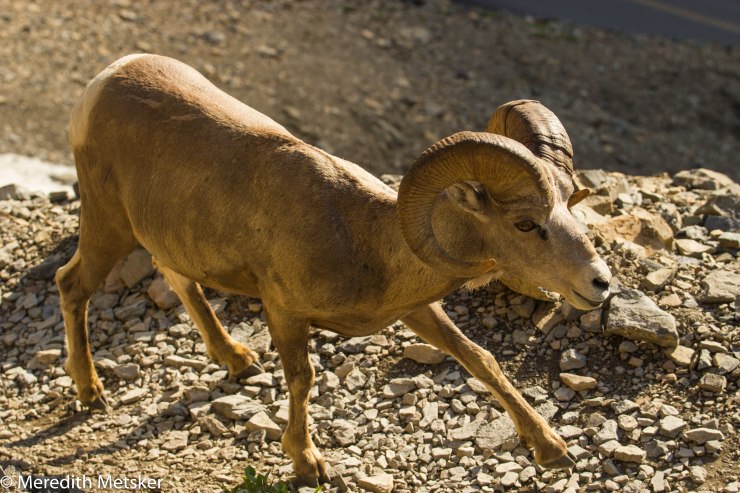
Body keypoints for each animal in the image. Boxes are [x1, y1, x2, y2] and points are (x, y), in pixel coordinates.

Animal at [56, 54, 612, 485]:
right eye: (525, 223)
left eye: (571, 203)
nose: (599, 282)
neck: (363, 237)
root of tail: (103, 82)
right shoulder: (283, 312)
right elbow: (302, 379)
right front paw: (308, 464)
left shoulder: (416, 311)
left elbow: (480, 359)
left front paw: (552, 449)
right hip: (107, 225)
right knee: (72, 285)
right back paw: (92, 394)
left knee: (175, 277)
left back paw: (237, 360)